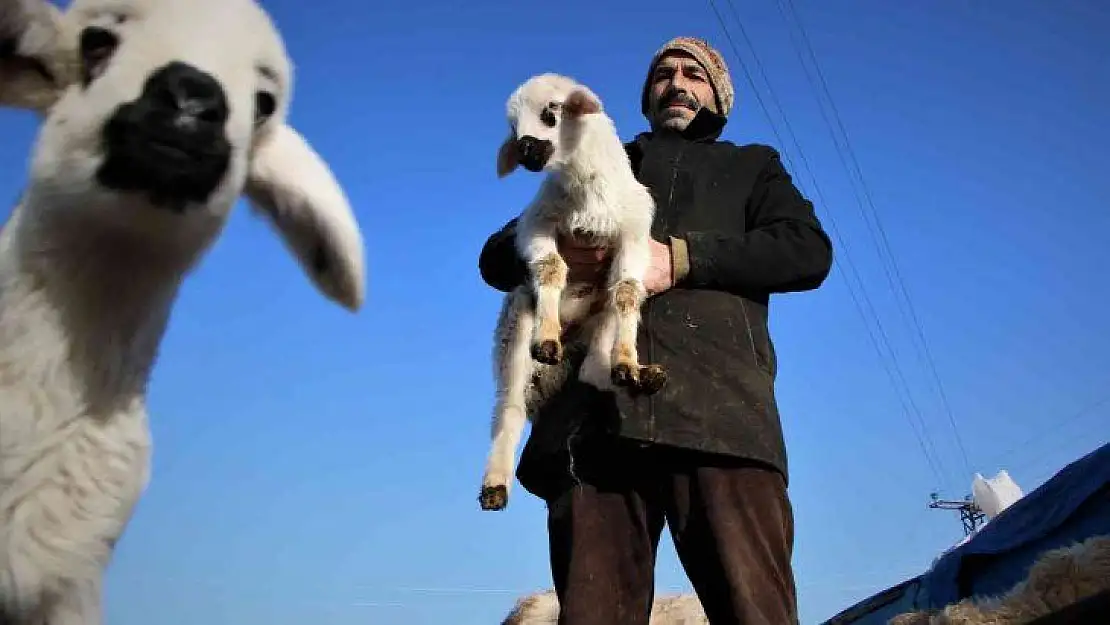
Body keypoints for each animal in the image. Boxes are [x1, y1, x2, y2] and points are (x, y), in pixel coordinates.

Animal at [479, 74, 666, 512]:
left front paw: (628, 360)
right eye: (513, 127)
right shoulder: (536, 223)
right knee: (509, 406)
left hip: (597, 318)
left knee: (591, 370)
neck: (587, 193)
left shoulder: (633, 235)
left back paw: (634, 377)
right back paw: (495, 485)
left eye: (552, 112)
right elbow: (551, 268)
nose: (526, 149)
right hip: (514, 320)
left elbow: (629, 292)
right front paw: (547, 339)